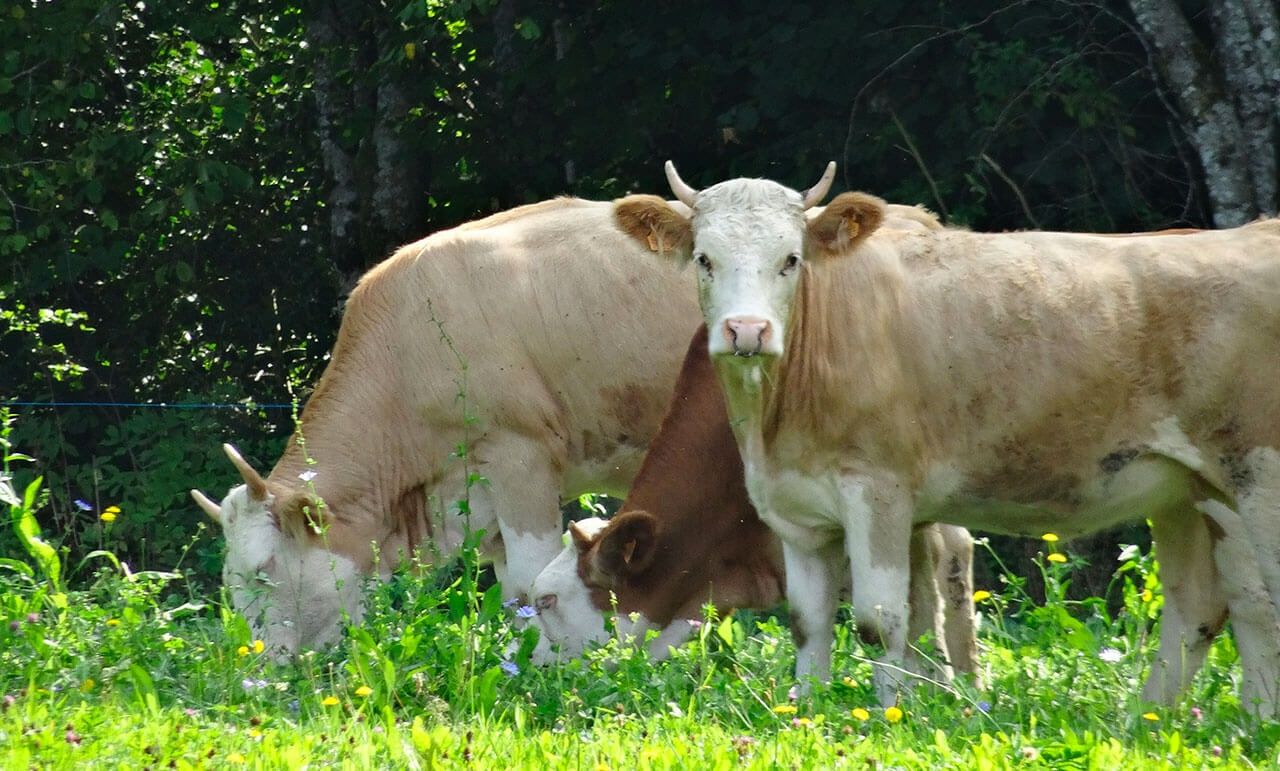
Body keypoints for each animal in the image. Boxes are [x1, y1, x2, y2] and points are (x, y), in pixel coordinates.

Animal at [189, 198, 706, 657]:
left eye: (264, 568)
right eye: (228, 579)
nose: (256, 661)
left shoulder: (521, 458)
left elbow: (529, 582)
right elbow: (511, 588)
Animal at [611, 162, 1280, 716]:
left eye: (791, 259)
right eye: (704, 258)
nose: (747, 330)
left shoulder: (878, 490)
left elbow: (882, 620)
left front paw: (887, 718)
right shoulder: (796, 510)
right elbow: (811, 622)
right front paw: (809, 712)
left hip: (1254, 474)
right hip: (1190, 488)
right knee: (1204, 605)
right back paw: (1155, 720)